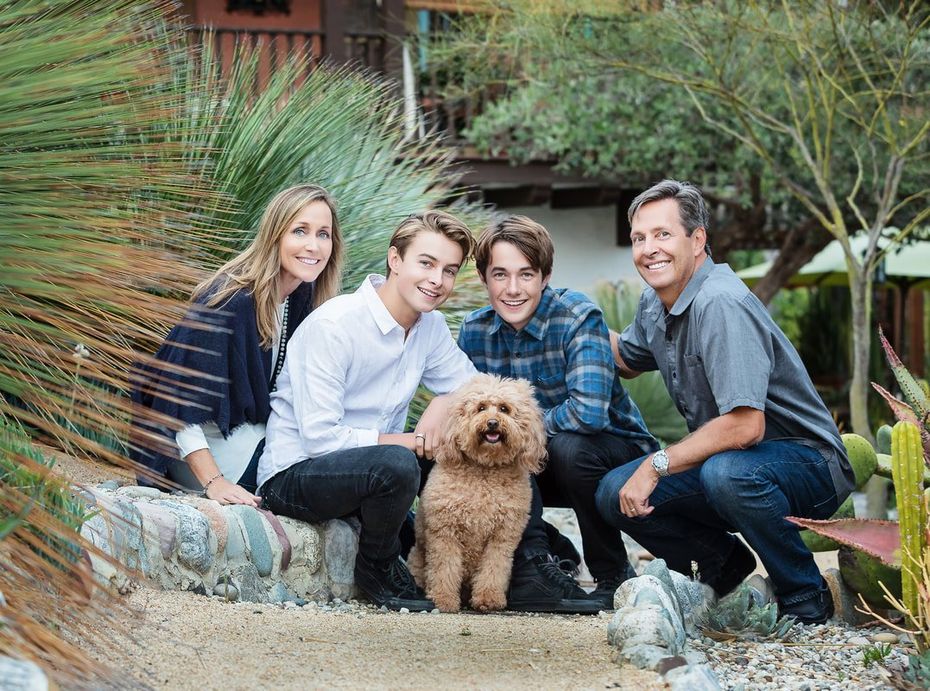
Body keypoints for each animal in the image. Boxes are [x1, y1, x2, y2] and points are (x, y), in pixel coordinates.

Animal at [408, 376, 552, 612]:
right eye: (480, 408)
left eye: (504, 409)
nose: (492, 422)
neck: (485, 469)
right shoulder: (445, 532)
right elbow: (444, 568)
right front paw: (443, 598)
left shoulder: (502, 537)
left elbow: (494, 568)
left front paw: (488, 598)